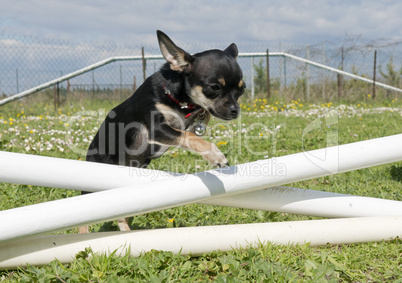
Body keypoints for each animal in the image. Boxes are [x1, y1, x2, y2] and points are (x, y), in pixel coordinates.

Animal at [80, 31, 245, 234]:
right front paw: (215, 155)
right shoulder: (156, 129)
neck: (178, 100)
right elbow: (190, 137)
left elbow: (190, 132)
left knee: (121, 215)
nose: (235, 110)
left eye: (242, 89)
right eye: (214, 87)